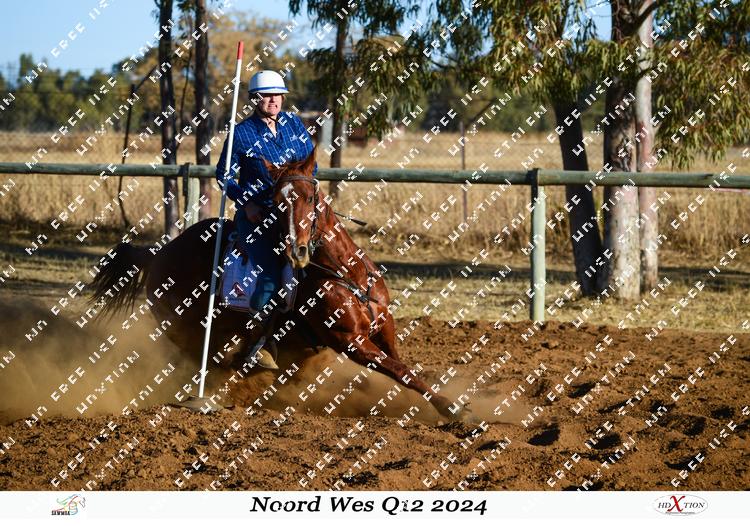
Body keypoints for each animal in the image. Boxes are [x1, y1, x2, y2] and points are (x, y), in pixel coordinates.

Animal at [88, 149, 464, 420]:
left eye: (310, 198)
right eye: (278, 202)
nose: (296, 250)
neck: (342, 272)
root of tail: (158, 254)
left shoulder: (383, 324)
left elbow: (403, 366)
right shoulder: (350, 342)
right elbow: (400, 370)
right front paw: (451, 407)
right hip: (186, 331)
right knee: (211, 365)